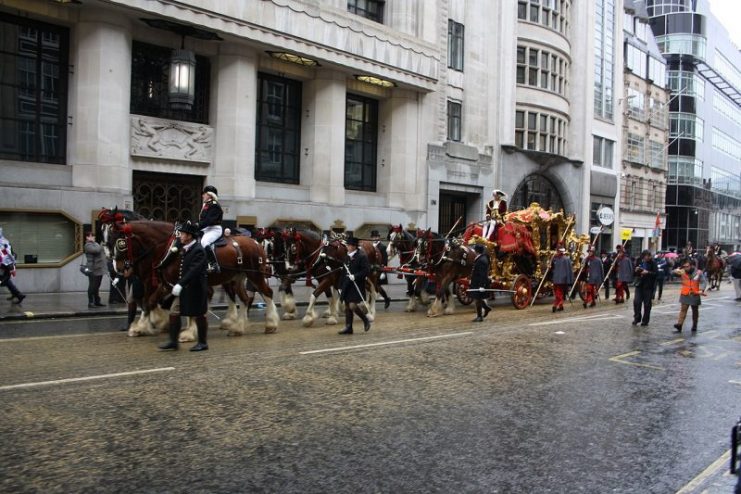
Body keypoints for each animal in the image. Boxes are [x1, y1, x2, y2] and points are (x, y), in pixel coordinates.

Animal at [99, 208, 278, 340]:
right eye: (105, 237)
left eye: (119, 242)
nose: (117, 267)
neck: (169, 246)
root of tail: (255, 242)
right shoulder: (166, 282)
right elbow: (150, 302)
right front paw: (145, 326)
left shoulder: (169, 281)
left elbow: (158, 302)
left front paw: (185, 331)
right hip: (236, 278)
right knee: (244, 298)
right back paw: (237, 327)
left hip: (255, 275)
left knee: (267, 293)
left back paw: (270, 324)